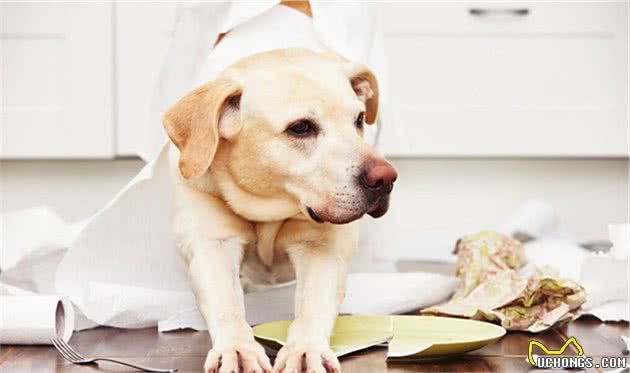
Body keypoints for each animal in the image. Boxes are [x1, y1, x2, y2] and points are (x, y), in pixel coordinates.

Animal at [165, 46, 398, 372]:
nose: (385, 178)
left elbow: (313, 304)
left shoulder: (319, 247)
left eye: (359, 119)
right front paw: (236, 348)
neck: (267, 207)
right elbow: (226, 304)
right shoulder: (213, 246)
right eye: (300, 128)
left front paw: (306, 349)